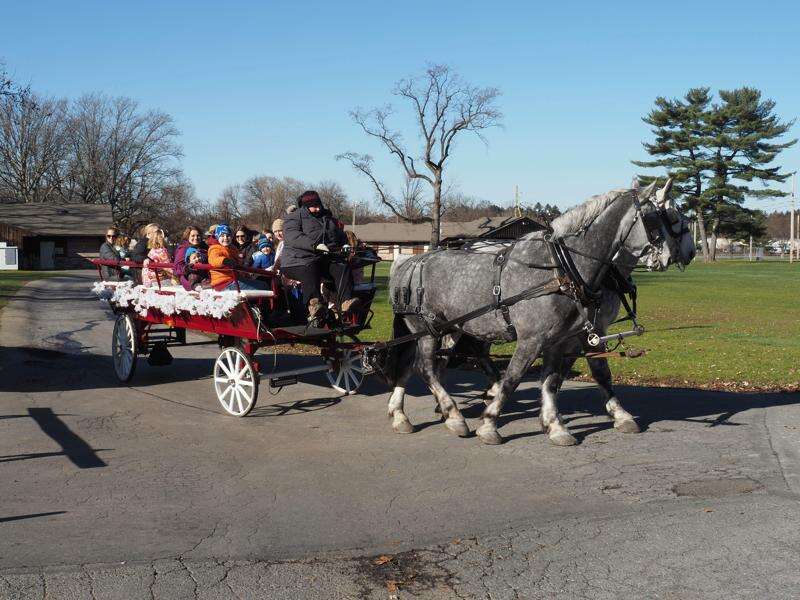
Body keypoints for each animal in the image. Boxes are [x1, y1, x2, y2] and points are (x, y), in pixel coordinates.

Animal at [384, 182, 692, 446]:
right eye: (663, 217)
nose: (686, 253)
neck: (562, 269)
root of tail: (409, 262)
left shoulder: (566, 338)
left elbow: (561, 379)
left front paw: (556, 425)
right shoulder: (534, 338)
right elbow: (514, 378)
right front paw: (490, 423)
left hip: (446, 329)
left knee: (415, 364)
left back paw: (402, 415)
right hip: (427, 329)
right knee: (425, 368)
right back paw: (453, 415)